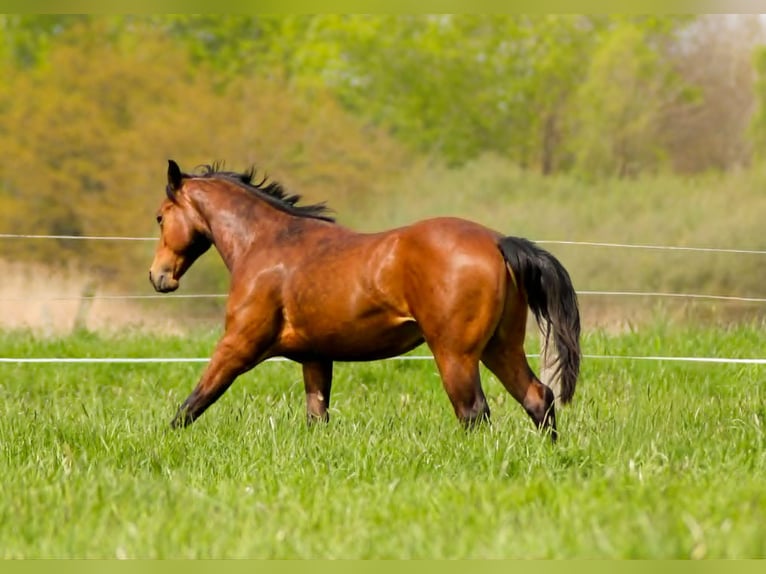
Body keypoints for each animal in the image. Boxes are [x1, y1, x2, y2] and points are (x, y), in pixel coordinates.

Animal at [149, 160, 581, 440]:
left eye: (160, 217)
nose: (158, 276)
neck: (265, 243)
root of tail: (497, 241)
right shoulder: (315, 358)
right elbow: (316, 416)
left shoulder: (238, 345)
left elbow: (194, 402)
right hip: (499, 347)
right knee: (537, 397)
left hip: (455, 355)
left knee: (473, 412)